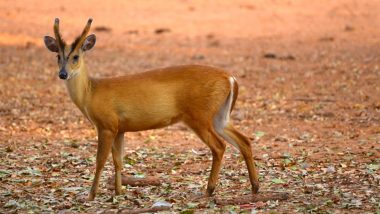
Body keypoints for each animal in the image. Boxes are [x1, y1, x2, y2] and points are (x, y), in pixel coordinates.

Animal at [43, 18, 260, 201]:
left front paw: (91, 195)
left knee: (219, 146)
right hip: (220, 116)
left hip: (199, 115)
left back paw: (209, 190)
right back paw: (255, 186)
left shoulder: (106, 125)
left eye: (75, 56)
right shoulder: (120, 128)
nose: (62, 74)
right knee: (244, 140)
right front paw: (119, 191)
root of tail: (230, 78)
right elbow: (118, 160)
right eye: (58, 56)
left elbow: (100, 160)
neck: (91, 92)